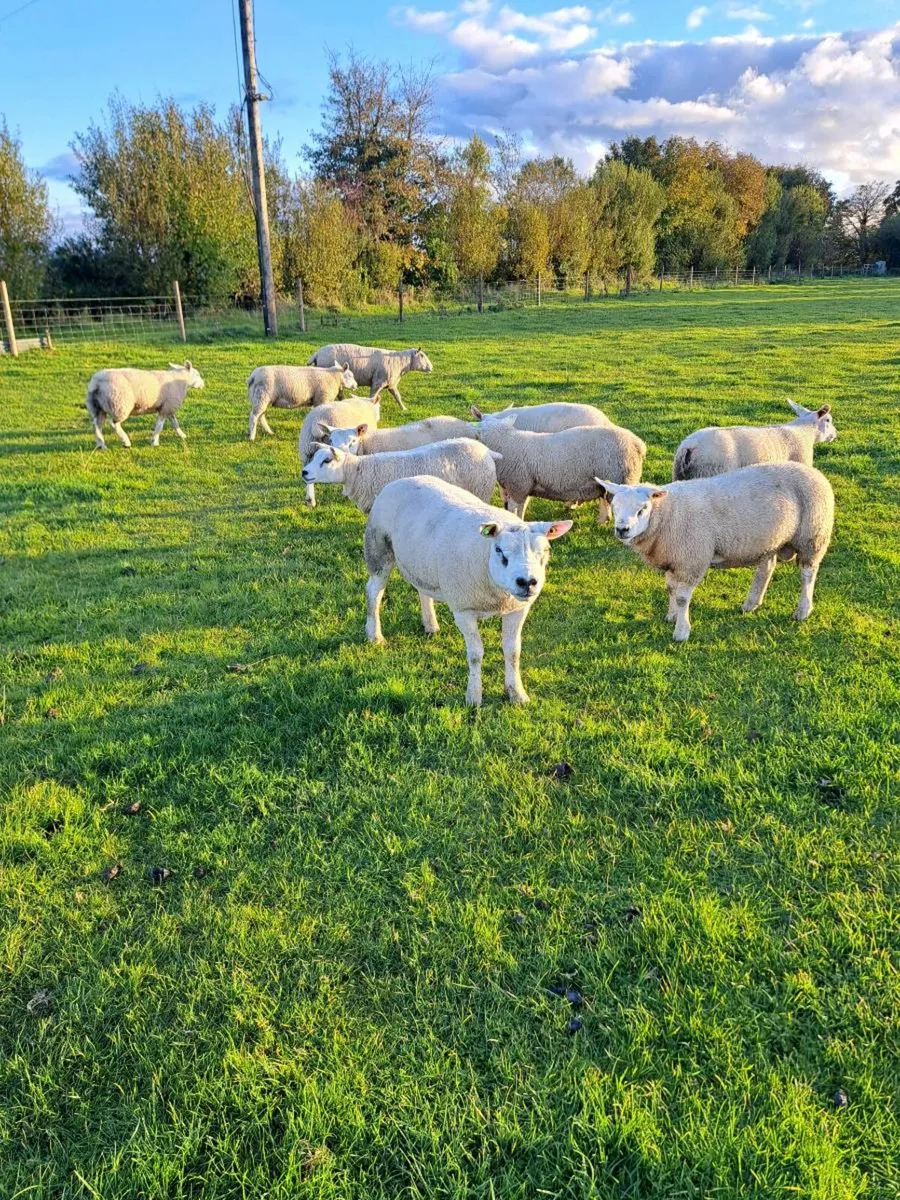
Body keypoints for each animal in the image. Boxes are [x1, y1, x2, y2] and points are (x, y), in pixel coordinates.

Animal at [301, 438, 501, 513]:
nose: (304, 472)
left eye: (326, 460)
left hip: (481, 489)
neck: (359, 471)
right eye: (313, 457)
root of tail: (487, 450)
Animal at [364, 476, 572, 705]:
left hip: (422, 563)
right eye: (499, 551)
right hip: (378, 550)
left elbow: (513, 651)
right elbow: (475, 654)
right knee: (374, 591)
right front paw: (474, 696)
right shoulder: (464, 610)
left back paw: (430, 625)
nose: (527, 582)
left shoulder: (517, 609)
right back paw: (375, 635)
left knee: (422, 591)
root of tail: (403, 479)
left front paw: (517, 693)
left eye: (546, 550)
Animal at [476, 419, 647, 522]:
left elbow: (514, 509)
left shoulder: (518, 485)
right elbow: (520, 509)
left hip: (622, 478)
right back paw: (603, 521)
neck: (506, 443)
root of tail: (638, 444)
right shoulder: (524, 487)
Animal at [597, 462, 834, 642]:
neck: (668, 514)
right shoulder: (675, 560)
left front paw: (681, 631)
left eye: (642, 509)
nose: (622, 529)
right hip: (770, 539)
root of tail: (815, 472)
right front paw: (671, 616)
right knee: (766, 568)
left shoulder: (691, 560)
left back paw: (803, 610)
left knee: (807, 574)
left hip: (812, 536)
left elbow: (682, 597)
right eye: (614, 506)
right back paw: (751, 604)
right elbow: (670, 589)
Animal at [672, 400, 837, 481]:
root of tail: (689, 446)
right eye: (828, 420)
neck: (804, 432)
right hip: (708, 471)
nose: (835, 434)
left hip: (680, 474)